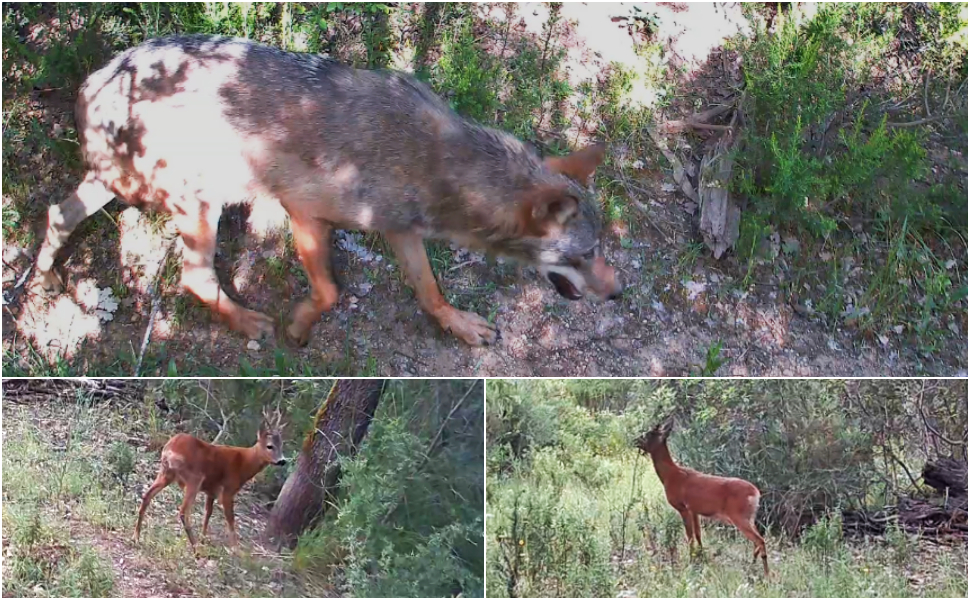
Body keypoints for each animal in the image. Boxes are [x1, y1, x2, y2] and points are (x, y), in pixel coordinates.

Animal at [34, 34, 621, 346]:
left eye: (600, 251)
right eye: (585, 253)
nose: (617, 293)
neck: (437, 165)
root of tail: (95, 81)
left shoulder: (401, 231)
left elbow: (429, 290)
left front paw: (457, 324)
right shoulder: (303, 212)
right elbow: (331, 292)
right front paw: (297, 325)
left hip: (120, 187)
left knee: (56, 213)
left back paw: (43, 282)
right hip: (200, 206)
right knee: (194, 280)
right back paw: (252, 323)